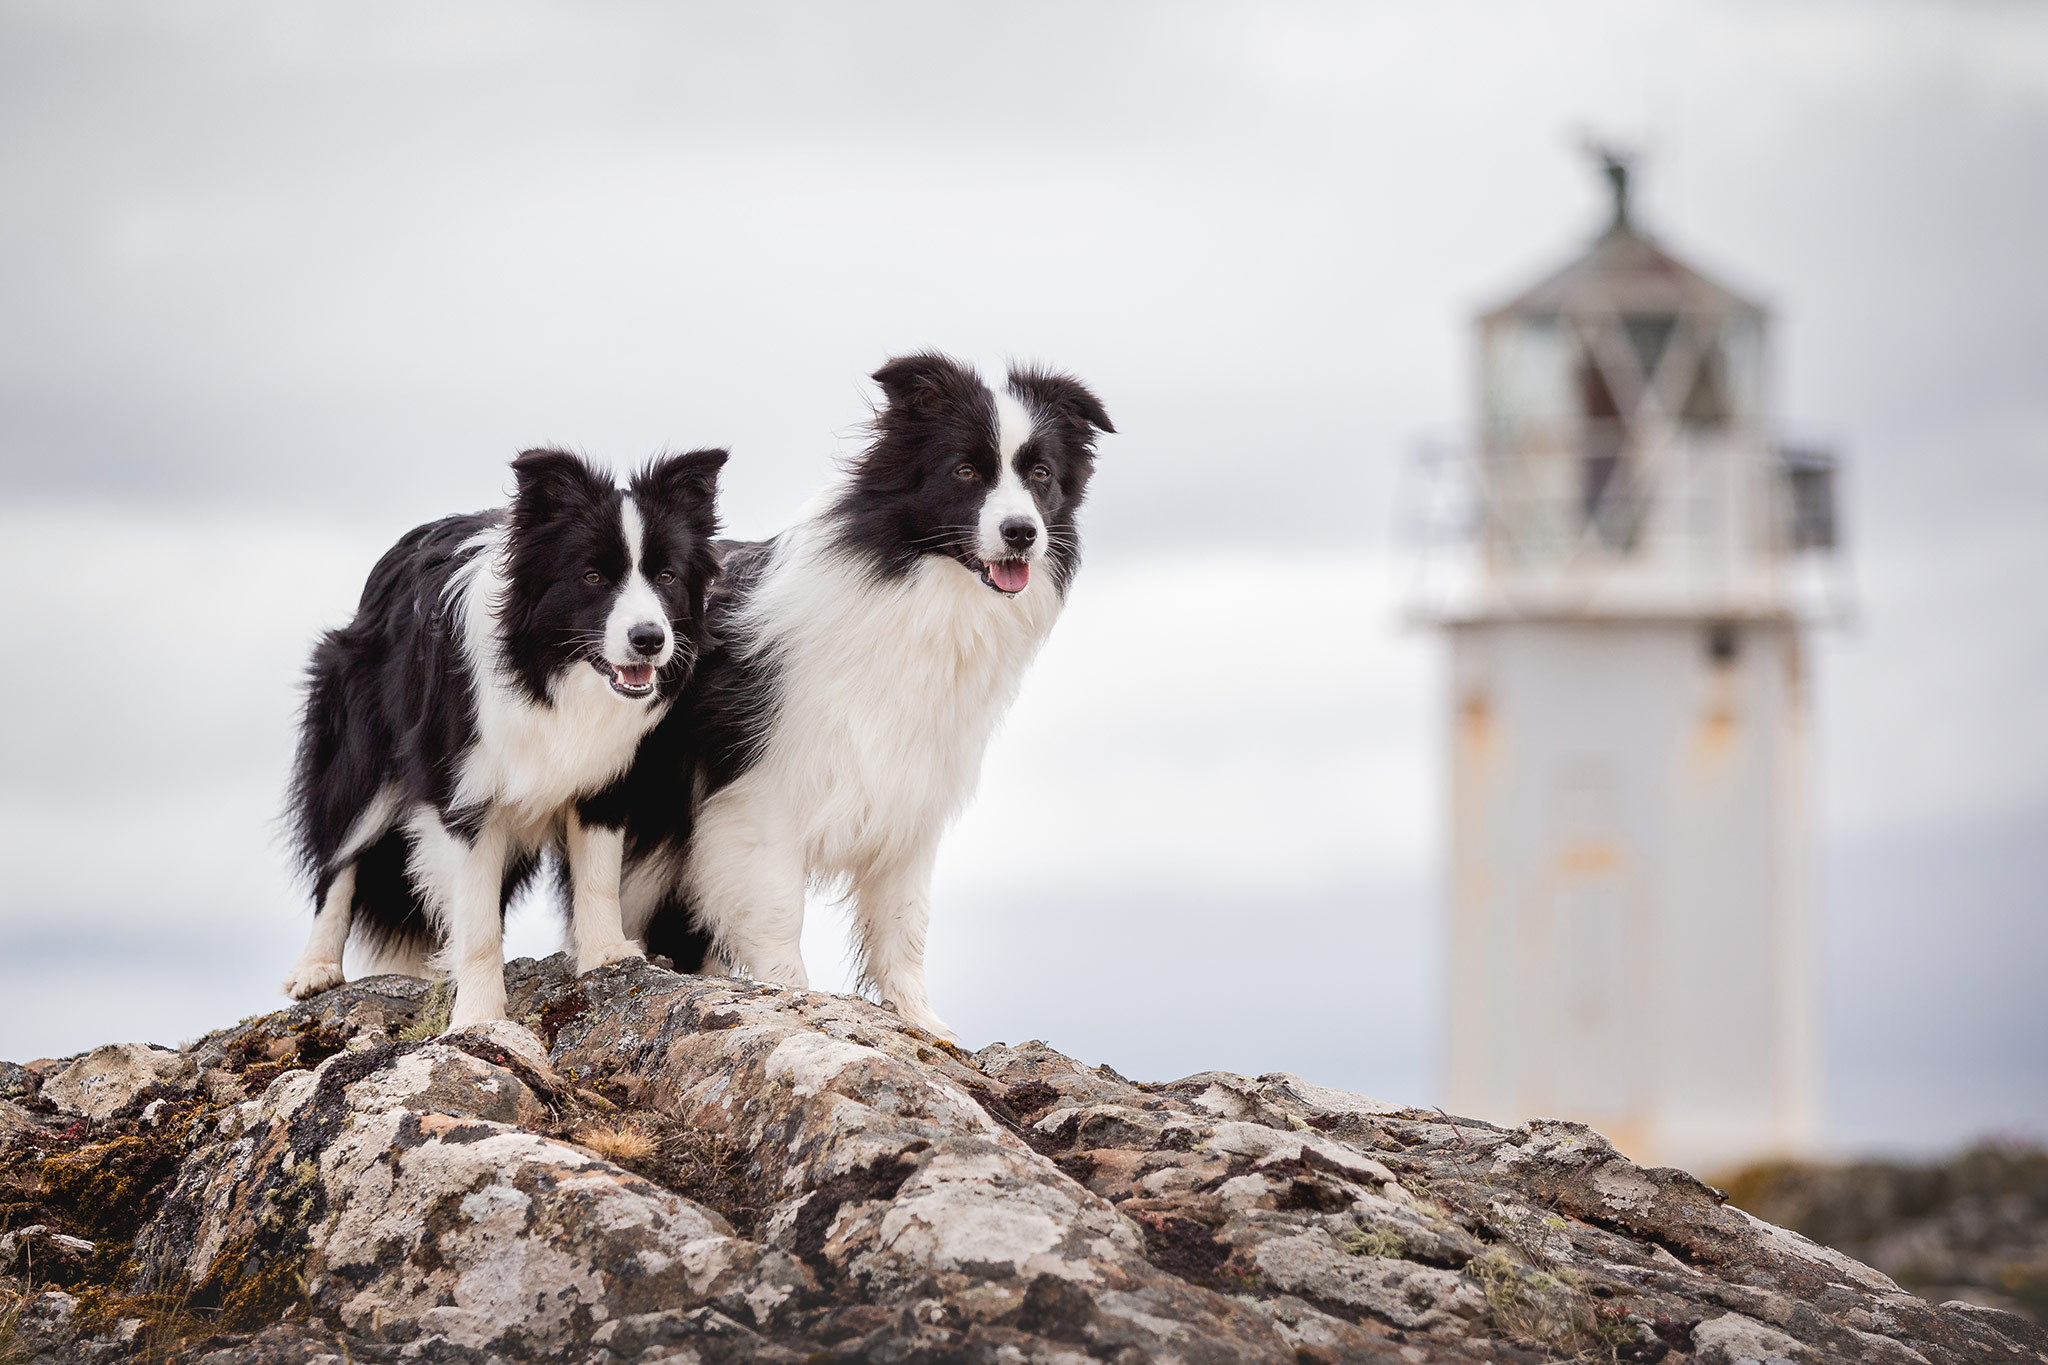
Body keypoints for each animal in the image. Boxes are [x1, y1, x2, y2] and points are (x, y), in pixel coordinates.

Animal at [280, 448, 729, 1023]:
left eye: (668, 575)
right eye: (592, 576)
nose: (649, 639)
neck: (550, 673)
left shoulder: (606, 775)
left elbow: (598, 875)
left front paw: (608, 956)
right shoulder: (465, 795)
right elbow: (477, 921)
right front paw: (478, 1016)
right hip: (360, 749)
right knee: (340, 856)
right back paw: (315, 970)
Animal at [614, 358, 1114, 1039]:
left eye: (1041, 474)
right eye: (964, 470)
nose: (1022, 533)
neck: (918, 598)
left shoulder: (912, 797)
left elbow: (905, 923)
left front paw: (924, 1026)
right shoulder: (759, 797)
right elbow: (777, 913)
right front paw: (795, 1002)